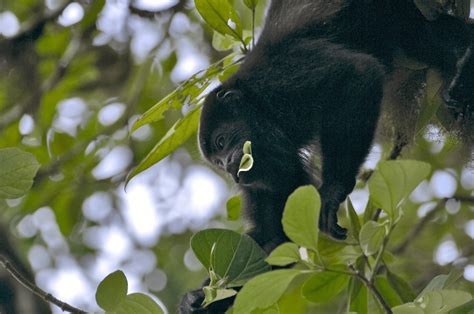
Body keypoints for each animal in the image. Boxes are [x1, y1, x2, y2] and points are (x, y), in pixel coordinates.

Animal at [180, 1, 472, 312]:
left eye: (221, 142)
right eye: (217, 163)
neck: (258, 106)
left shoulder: (280, 76)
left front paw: (332, 191)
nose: (230, 167)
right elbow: (274, 239)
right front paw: (197, 300)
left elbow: (355, 74)